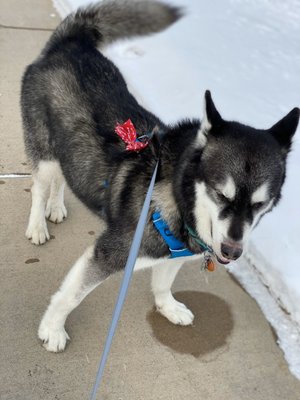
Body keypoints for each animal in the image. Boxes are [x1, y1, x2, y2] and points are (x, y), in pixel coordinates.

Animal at [19, 0, 298, 352]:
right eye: (221, 194)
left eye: (261, 204)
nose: (232, 252)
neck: (179, 198)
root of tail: (71, 44)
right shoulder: (110, 253)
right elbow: (71, 296)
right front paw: (52, 329)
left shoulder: (175, 253)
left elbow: (164, 283)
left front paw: (168, 307)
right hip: (44, 150)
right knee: (40, 185)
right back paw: (38, 224)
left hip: (66, 151)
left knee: (62, 178)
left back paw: (56, 208)